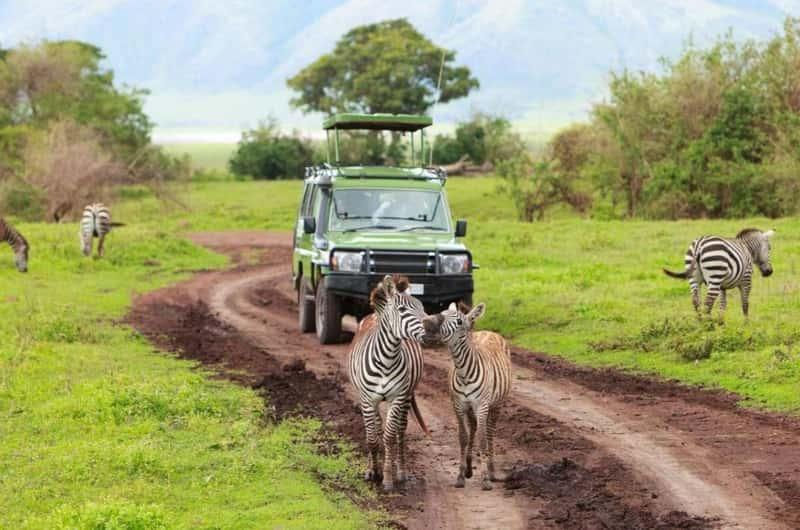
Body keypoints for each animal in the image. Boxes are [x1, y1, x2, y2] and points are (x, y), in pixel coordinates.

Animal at [348, 274, 429, 492]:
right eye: (402, 310)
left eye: (421, 306)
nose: (432, 327)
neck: (386, 359)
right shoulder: (367, 399)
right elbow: (372, 438)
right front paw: (372, 472)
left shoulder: (397, 397)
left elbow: (390, 437)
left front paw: (388, 478)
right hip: (370, 400)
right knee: (375, 428)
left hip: (407, 396)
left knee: (400, 431)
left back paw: (400, 471)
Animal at [423, 302, 512, 491]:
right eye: (442, 312)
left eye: (458, 321)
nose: (427, 323)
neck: (464, 372)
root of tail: (489, 331)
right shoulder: (458, 405)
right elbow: (463, 437)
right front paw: (461, 475)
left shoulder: (482, 405)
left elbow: (483, 440)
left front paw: (485, 479)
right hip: (472, 409)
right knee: (473, 428)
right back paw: (470, 468)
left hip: (496, 404)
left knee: (489, 432)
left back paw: (492, 471)